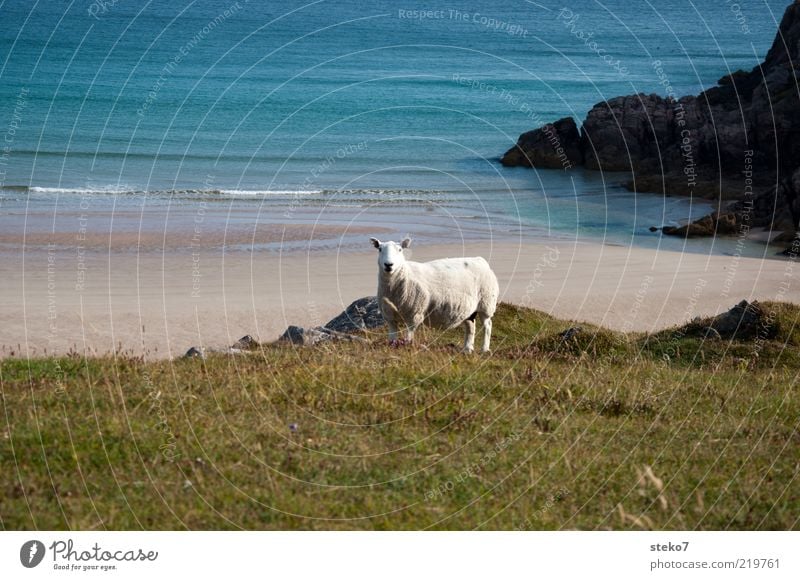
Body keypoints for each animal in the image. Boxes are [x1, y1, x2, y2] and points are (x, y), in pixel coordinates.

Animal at [370, 237, 500, 354]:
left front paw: (407, 347)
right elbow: (392, 337)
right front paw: (392, 348)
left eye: (400, 249)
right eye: (380, 249)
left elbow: (409, 336)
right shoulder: (389, 316)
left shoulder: (414, 314)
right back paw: (467, 349)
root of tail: (480, 260)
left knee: (488, 325)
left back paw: (484, 349)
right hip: (469, 310)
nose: (388, 265)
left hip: (486, 303)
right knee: (470, 326)